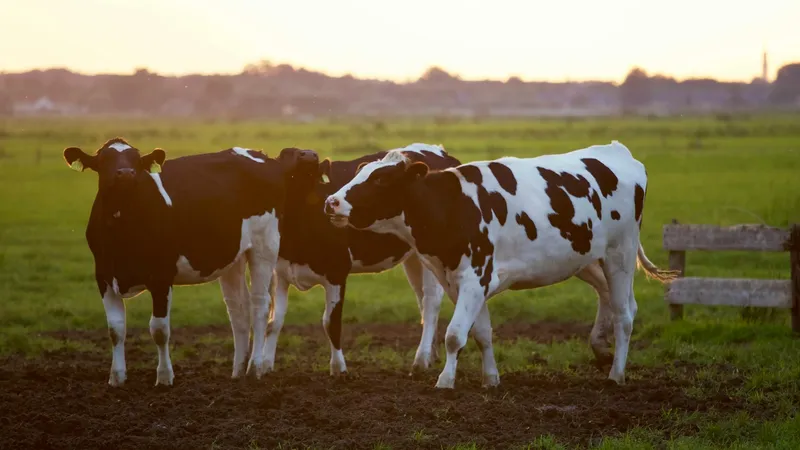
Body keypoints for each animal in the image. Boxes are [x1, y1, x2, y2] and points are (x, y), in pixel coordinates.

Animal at [62, 138, 318, 386]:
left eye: (136, 160)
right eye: (104, 160)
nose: (125, 173)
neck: (122, 230)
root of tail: (265, 158)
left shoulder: (161, 276)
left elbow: (159, 329)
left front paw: (165, 377)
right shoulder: (104, 276)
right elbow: (115, 329)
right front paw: (116, 377)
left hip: (264, 246)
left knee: (260, 306)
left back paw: (254, 368)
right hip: (232, 257)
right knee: (239, 310)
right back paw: (237, 371)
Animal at [266, 145, 460, 376]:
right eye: (286, 154)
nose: (310, 154)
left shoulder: (337, 272)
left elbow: (331, 322)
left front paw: (338, 369)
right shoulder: (280, 273)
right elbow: (274, 321)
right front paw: (261, 366)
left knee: (430, 302)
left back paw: (421, 360)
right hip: (414, 258)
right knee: (422, 300)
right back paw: (431, 355)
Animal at [324, 142, 680, 390]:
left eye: (381, 180)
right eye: (360, 172)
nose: (331, 201)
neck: (453, 206)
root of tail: (617, 151)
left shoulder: (474, 277)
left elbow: (454, 335)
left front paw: (445, 381)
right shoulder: (462, 282)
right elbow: (480, 333)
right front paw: (491, 378)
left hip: (620, 254)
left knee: (625, 315)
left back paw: (616, 373)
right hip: (586, 259)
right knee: (611, 299)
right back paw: (601, 349)